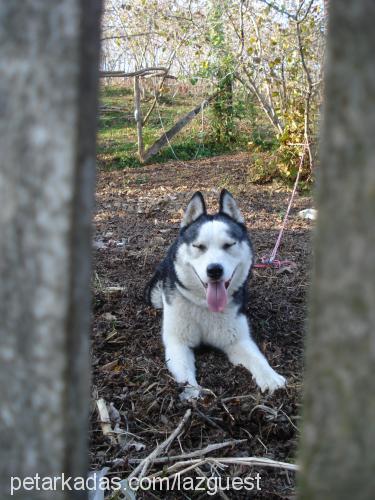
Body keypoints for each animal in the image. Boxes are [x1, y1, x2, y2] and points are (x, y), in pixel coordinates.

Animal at [145, 189, 286, 400]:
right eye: (198, 246)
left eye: (229, 245)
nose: (214, 270)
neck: (205, 305)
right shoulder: (177, 342)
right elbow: (184, 370)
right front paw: (192, 391)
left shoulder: (238, 340)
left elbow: (257, 358)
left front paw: (271, 377)